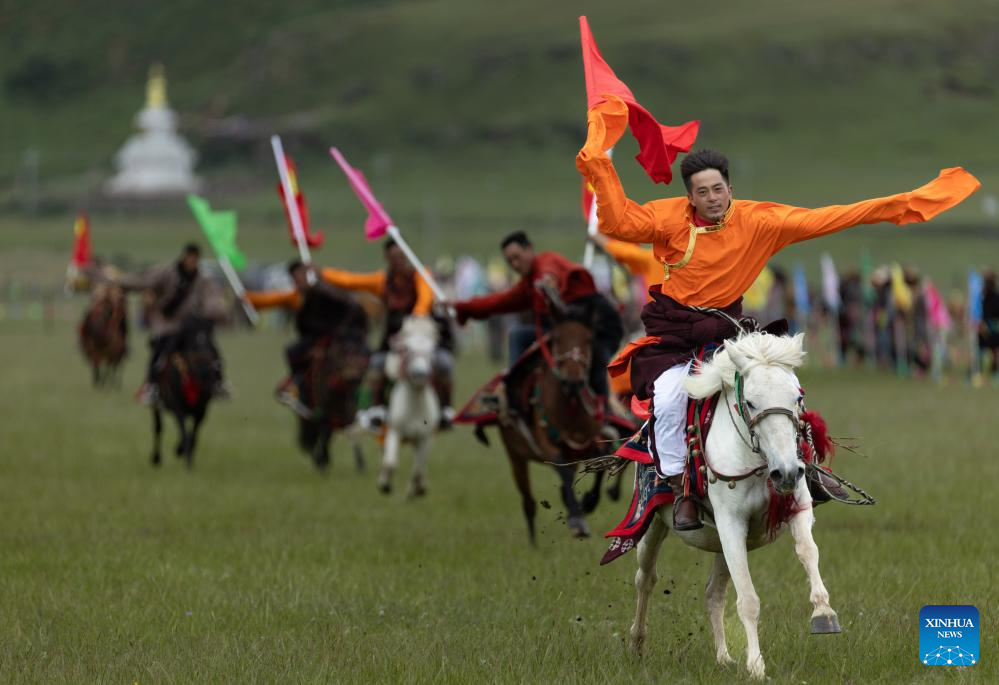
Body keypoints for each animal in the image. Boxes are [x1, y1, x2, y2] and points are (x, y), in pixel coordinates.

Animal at [150, 318, 217, 468]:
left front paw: (183, 453)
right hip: (156, 405)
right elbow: (184, 433)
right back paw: (156, 458)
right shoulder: (177, 407)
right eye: (192, 344)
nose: (206, 369)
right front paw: (184, 457)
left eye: (210, 343)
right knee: (158, 428)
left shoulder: (202, 411)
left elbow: (193, 436)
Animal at [298, 332, 374, 470]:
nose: (353, 378)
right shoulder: (323, 409)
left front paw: (361, 462)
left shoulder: (349, 409)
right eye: (342, 353)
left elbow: (349, 428)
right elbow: (325, 431)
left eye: (364, 353)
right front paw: (322, 460)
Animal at [376, 316, 440, 496]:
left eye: (432, 350)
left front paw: (415, 491)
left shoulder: (425, 437)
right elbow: (390, 463)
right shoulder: (394, 430)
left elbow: (418, 470)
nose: (420, 374)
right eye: (406, 348)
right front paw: (385, 485)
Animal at [500, 284, 608, 540]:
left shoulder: (589, 441)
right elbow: (564, 474)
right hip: (515, 456)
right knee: (528, 502)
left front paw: (587, 502)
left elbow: (603, 459)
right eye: (557, 339)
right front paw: (577, 520)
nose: (573, 382)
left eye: (588, 338)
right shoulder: (549, 446)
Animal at [632, 332, 836, 680]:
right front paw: (756, 666)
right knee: (645, 577)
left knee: (714, 593)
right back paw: (636, 644)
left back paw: (724, 658)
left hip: (722, 544)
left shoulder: (797, 504)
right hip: (654, 525)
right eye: (751, 402)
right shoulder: (731, 522)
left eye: (797, 398)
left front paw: (824, 613)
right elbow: (749, 600)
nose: (785, 472)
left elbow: (808, 551)